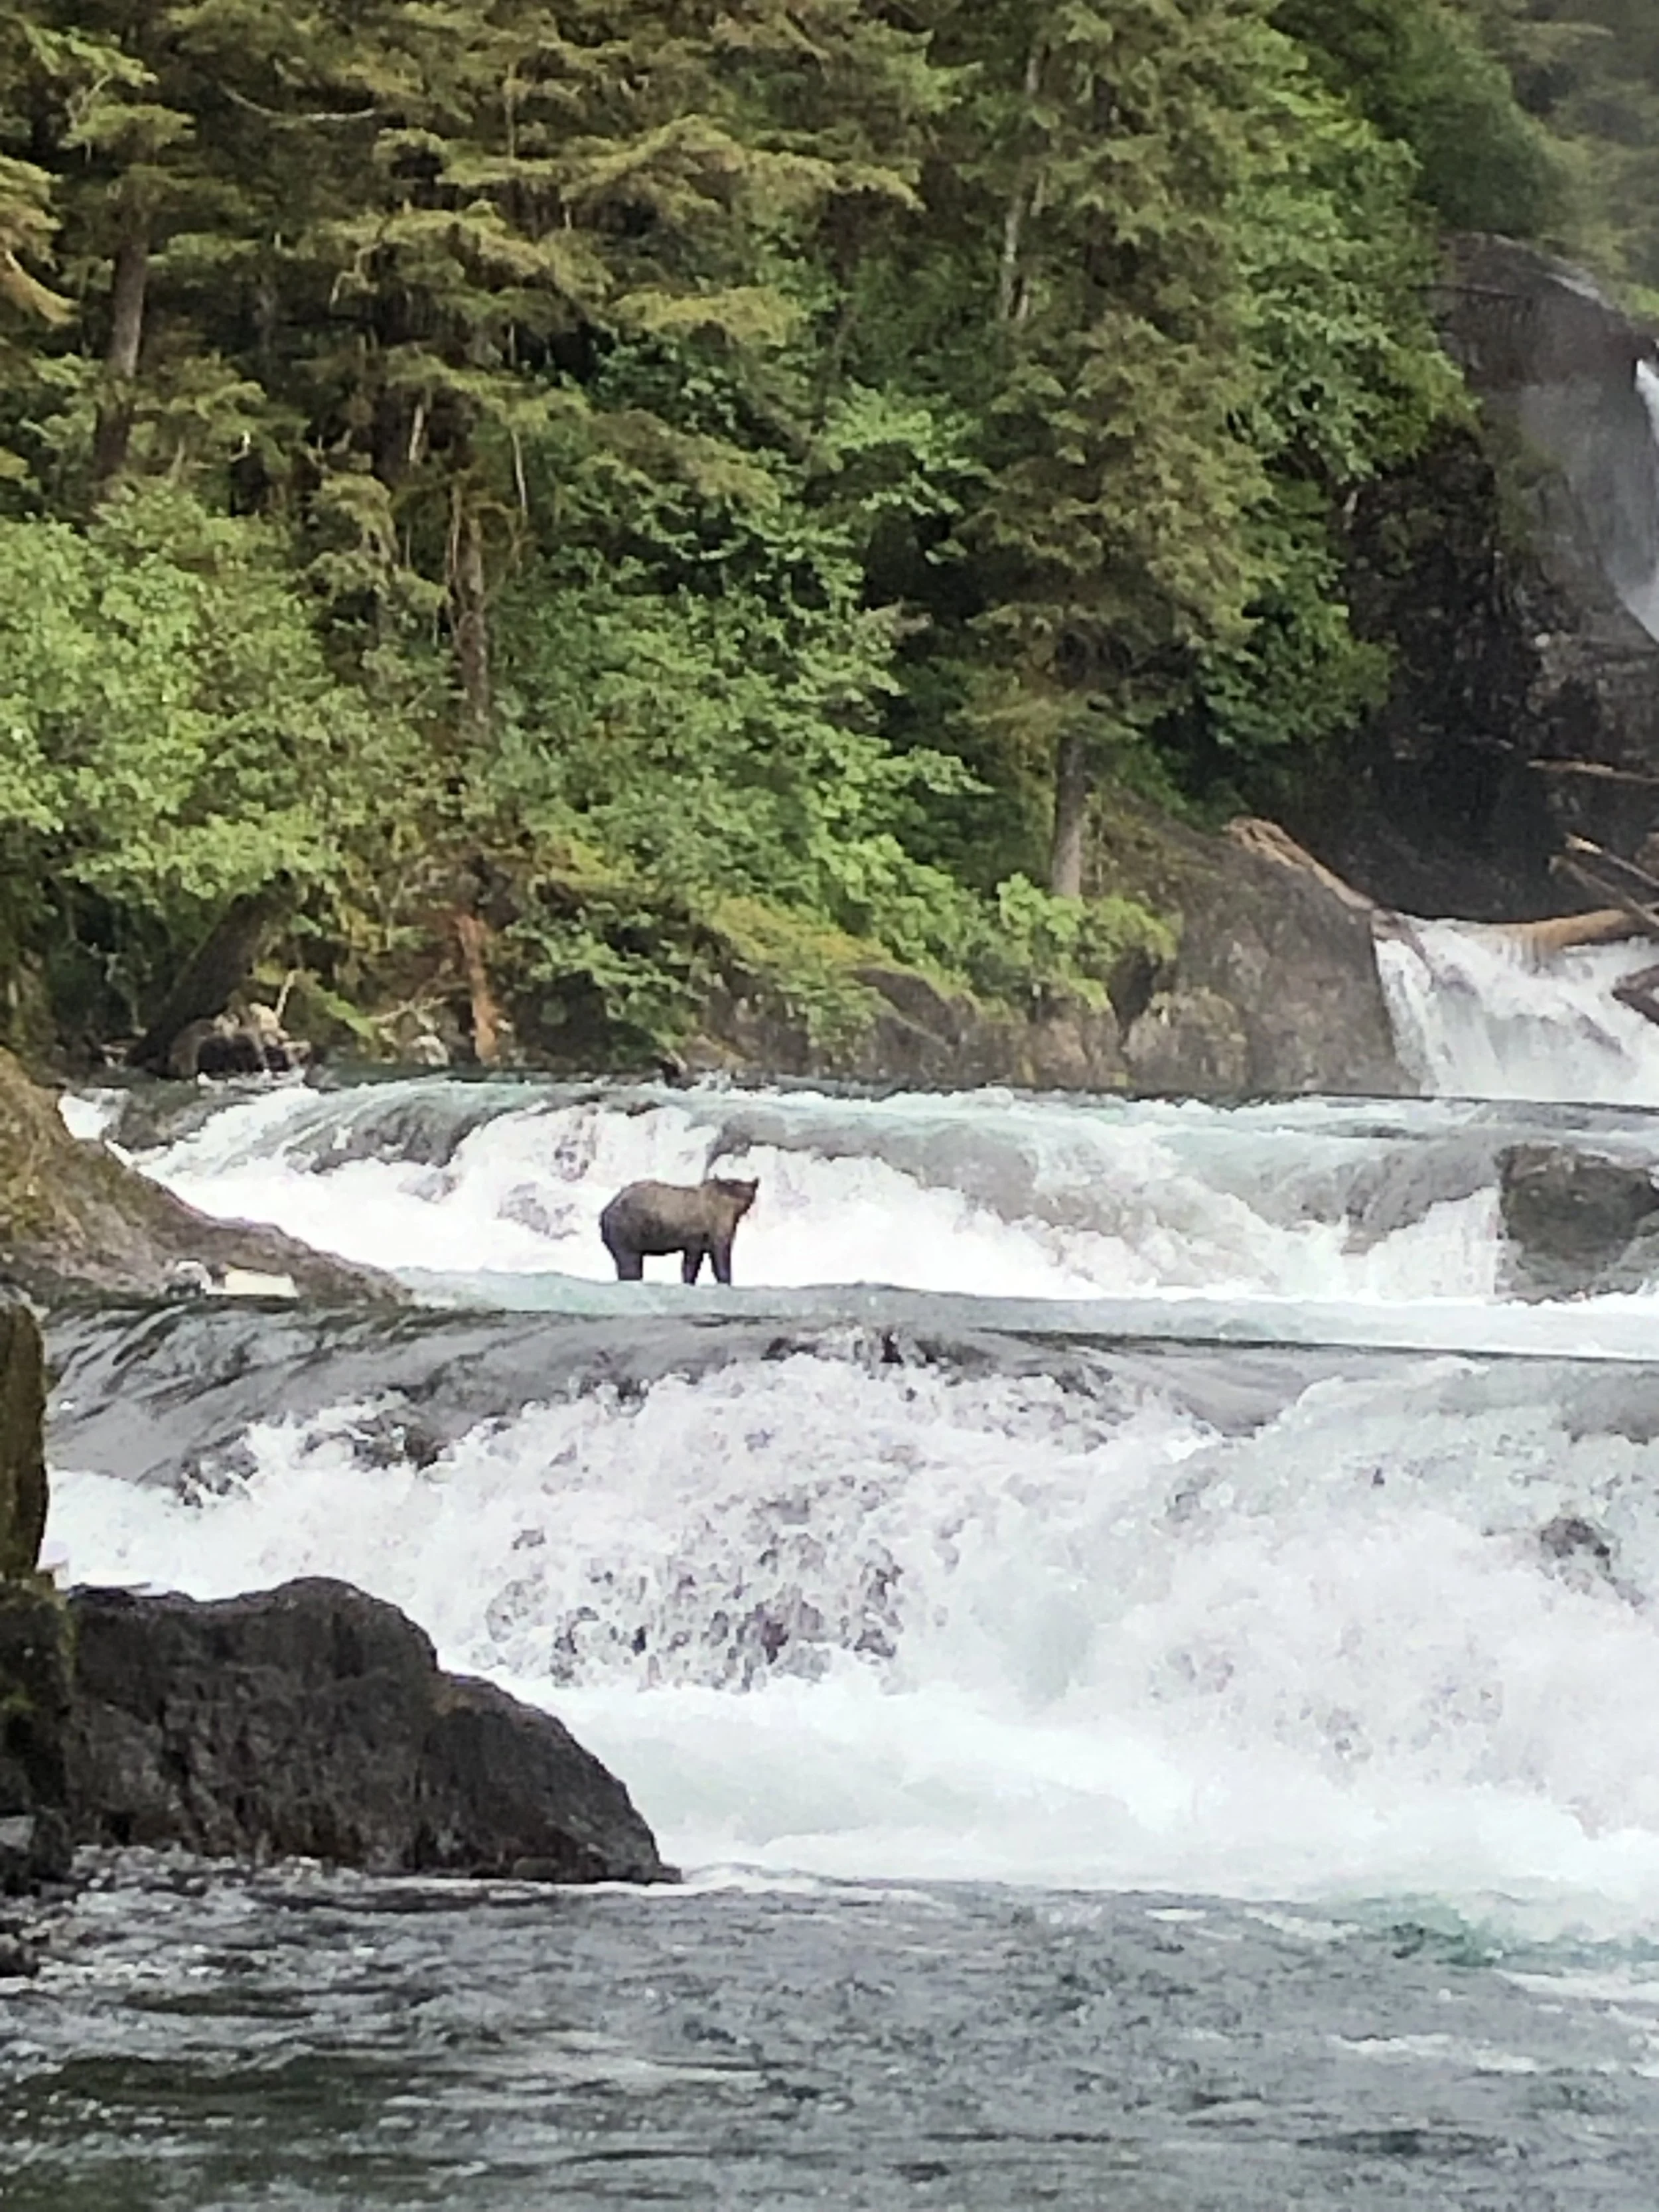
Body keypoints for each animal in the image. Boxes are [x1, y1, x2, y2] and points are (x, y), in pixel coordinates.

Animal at [599, 1176, 759, 1286]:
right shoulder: (701, 1230)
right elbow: (704, 1257)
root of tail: (607, 1209)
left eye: (748, 1199)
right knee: (629, 1262)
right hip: (628, 1229)